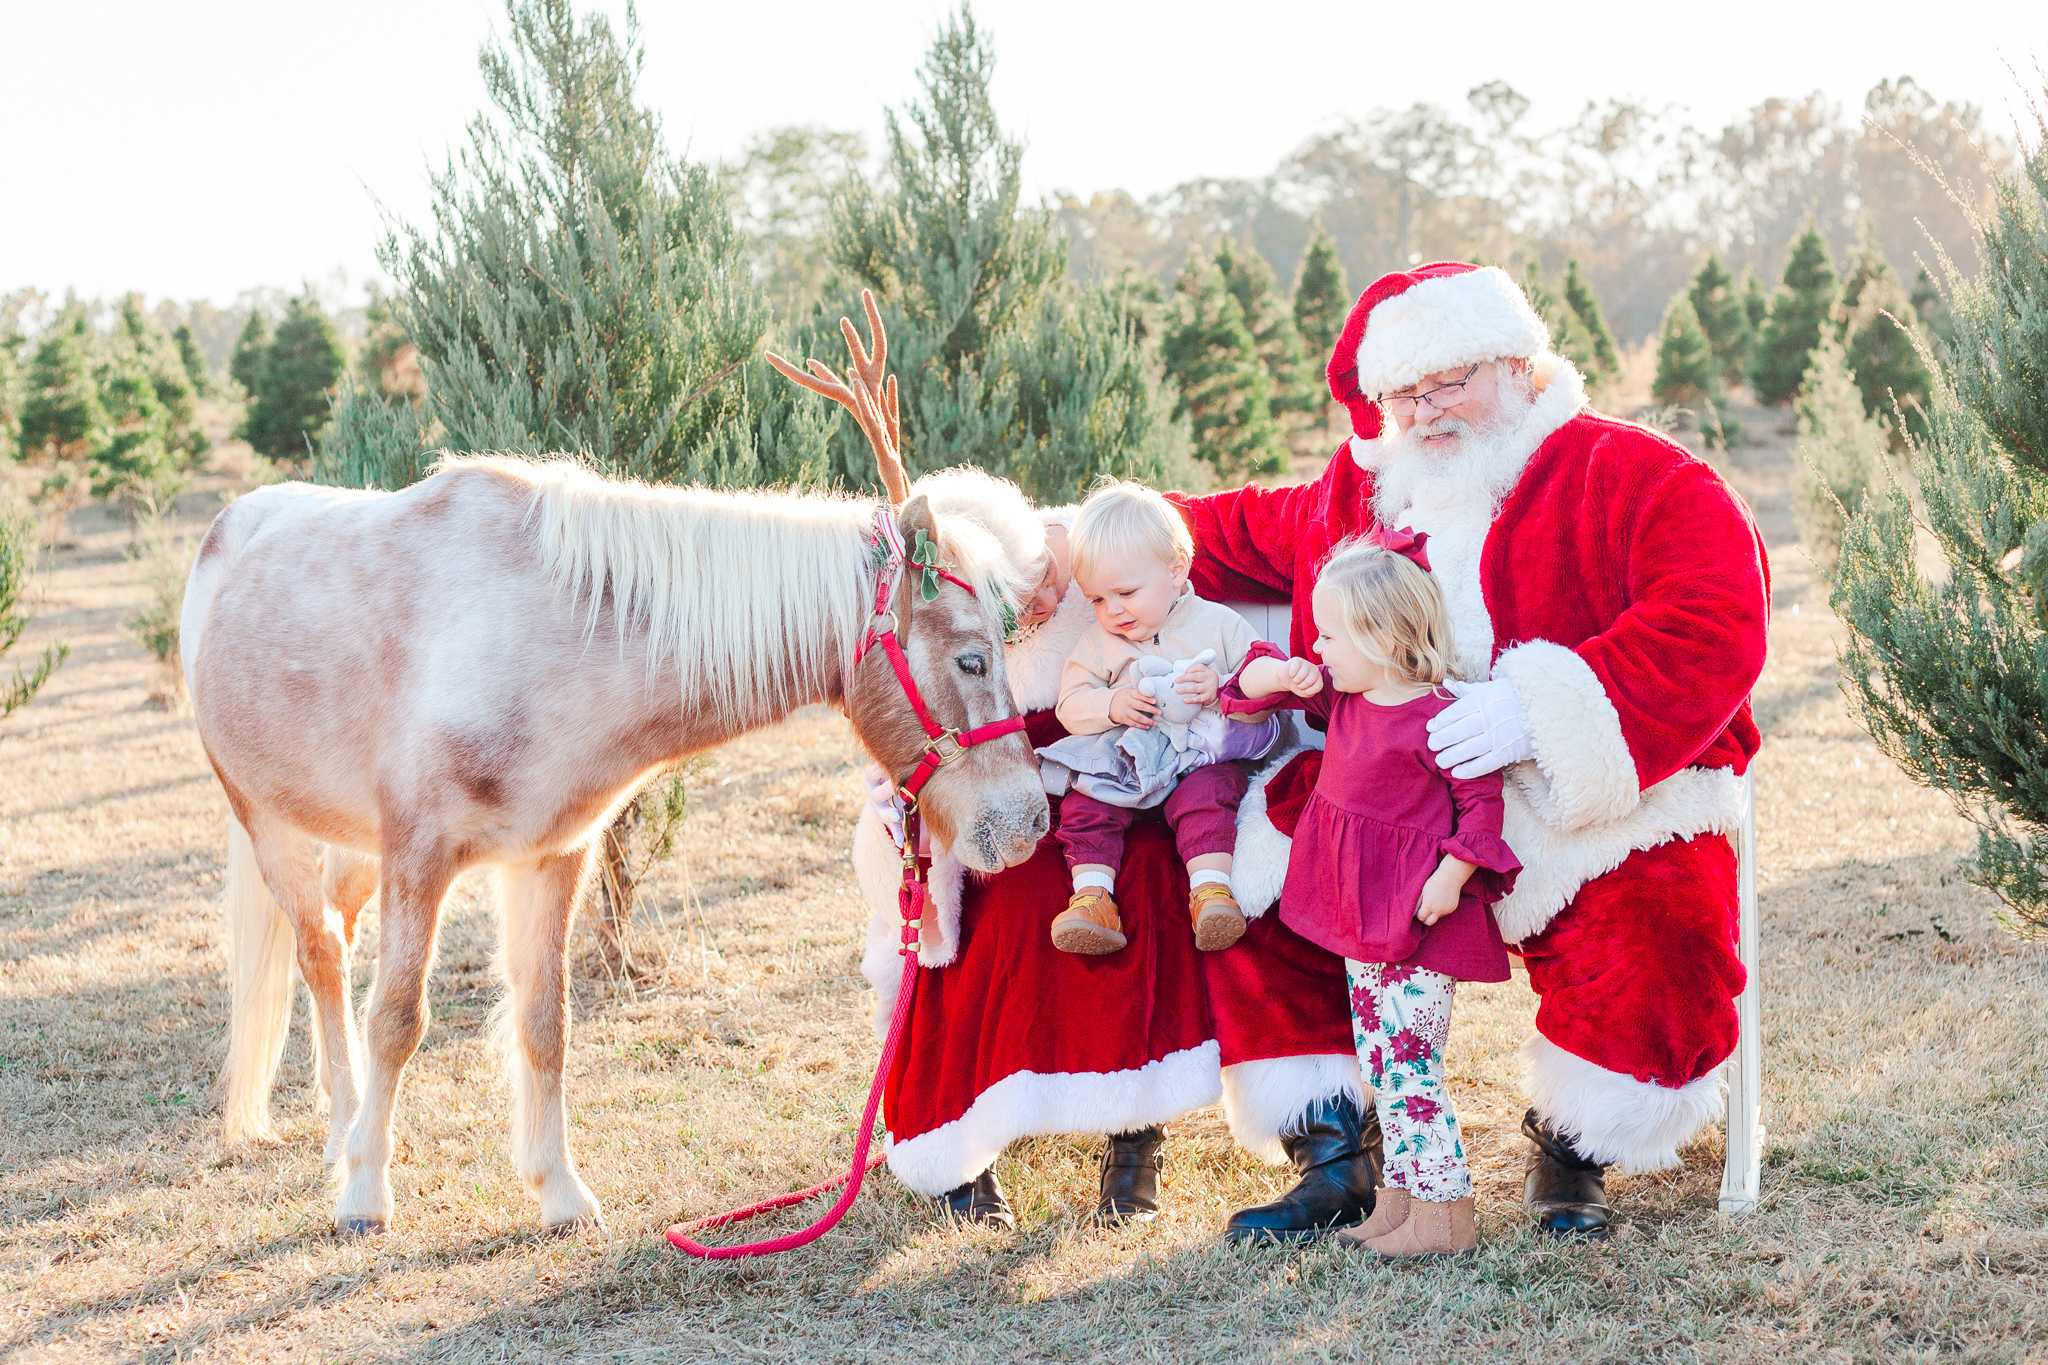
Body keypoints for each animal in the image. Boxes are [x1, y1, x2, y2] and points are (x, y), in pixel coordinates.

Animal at [180, 304, 1040, 1236]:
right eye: (971, 658)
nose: (1031, 818)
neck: (548, 629)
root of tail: (230, 529)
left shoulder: (553, 854)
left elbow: (544, 1020)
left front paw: (559, 1190)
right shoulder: (419, 853)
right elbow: (400, 1016)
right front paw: (369, 1195)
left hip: (354, 844)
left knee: (336, 934)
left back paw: (349, 1129)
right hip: (267, 820)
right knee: (321, 953)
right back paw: (347, 1146)